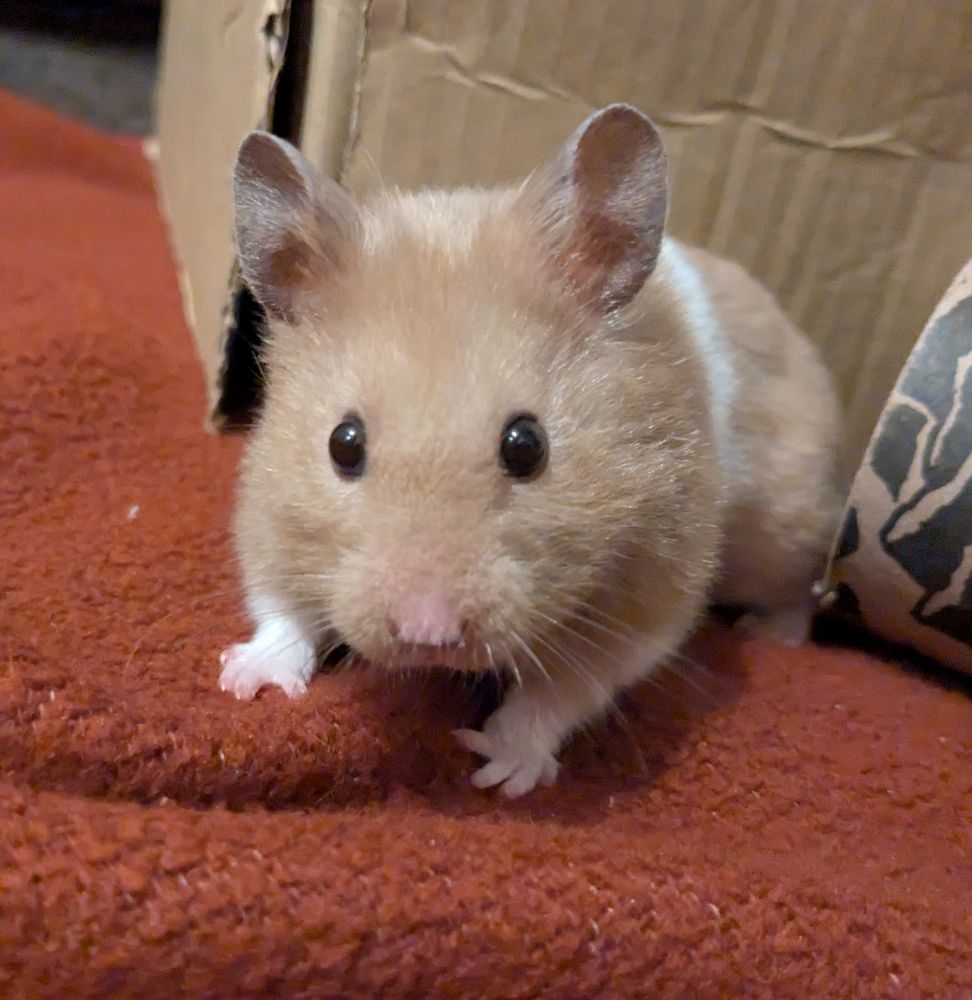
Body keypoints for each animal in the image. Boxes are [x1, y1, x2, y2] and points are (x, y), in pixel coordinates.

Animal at [218, 104, 840, 797]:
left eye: (527, 444)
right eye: (342, 444)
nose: (428, 633)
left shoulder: (651, 585)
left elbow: (565, 690)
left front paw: (495, 769)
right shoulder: (267, 513)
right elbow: (281, 609)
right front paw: (243, 683)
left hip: (784, 530)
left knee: (800, 587)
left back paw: (772, 633)